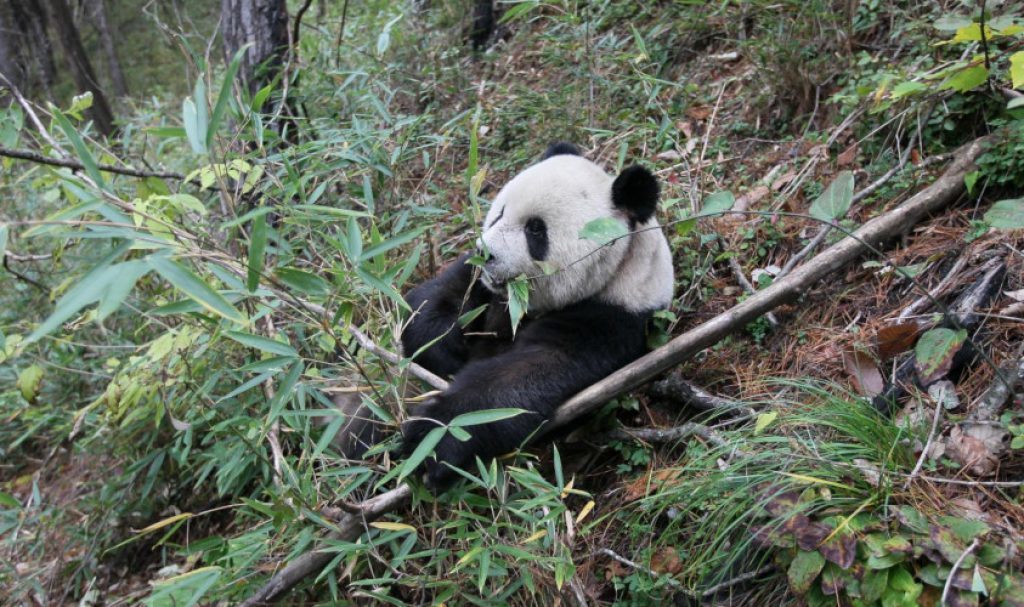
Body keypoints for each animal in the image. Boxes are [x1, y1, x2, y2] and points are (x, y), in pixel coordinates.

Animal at [399, 142, 674, 489]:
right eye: (499, 213)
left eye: (535, 230)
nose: (487, 253)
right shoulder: (483, 286)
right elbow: (440, 294)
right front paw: (440, 348)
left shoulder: (608, 319)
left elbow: (526, 376)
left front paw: (437, 435)